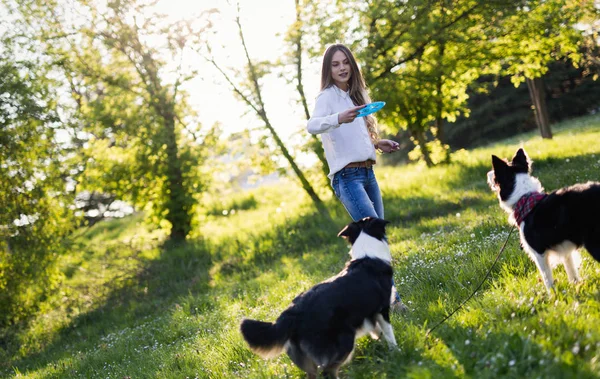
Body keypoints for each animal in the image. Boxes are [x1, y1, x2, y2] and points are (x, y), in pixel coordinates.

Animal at [239, 218, 398, 378]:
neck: (367, 254)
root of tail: (292, 312)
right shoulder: (382, 309)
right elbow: (389, 332)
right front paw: (396, 351)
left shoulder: (368, 314)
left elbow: (377, 331)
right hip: (344, 340)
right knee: (328, 370)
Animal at [488, 148, 600, 290]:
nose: (488, 173)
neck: (524, 197)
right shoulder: (565, 251)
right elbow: (571, 270)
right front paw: (575, 287)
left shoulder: (539, 253)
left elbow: (547, 279)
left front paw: (553, 294)